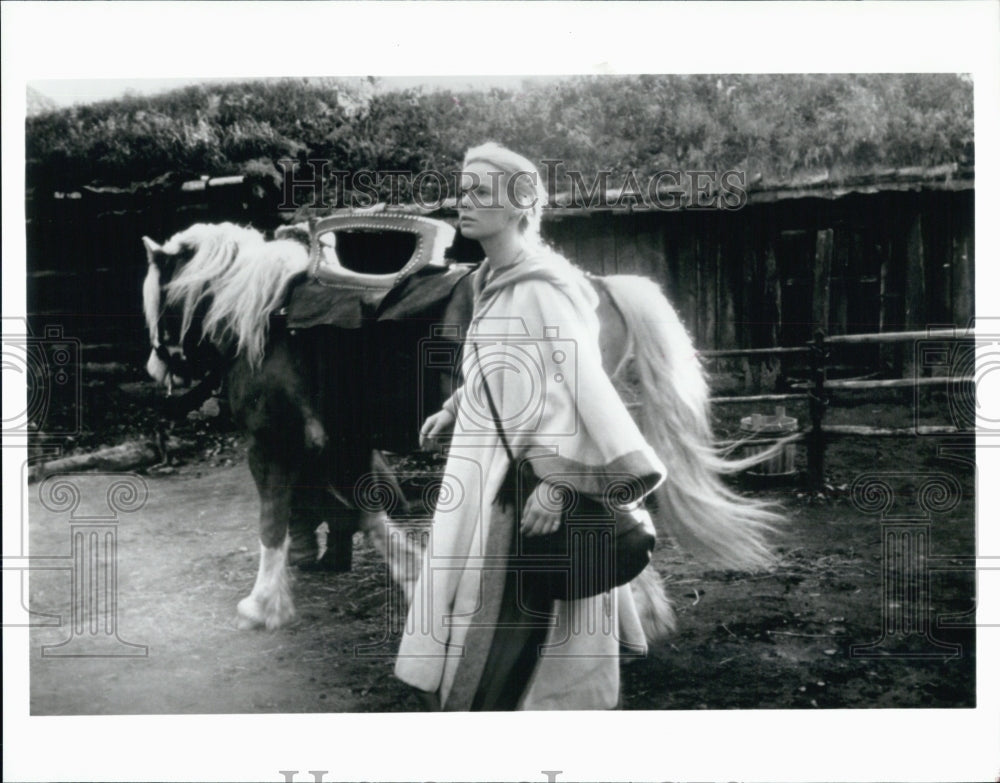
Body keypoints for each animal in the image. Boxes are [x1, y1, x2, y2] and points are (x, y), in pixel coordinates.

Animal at [141, 217, 780, 632]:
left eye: (159, 303)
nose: (156, 370)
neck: (267, 318)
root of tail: (597, 286)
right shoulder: (341, 445)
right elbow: (370, 515)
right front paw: (413, 579)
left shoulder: (274, 446)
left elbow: (272, 522)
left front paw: (263, 606)